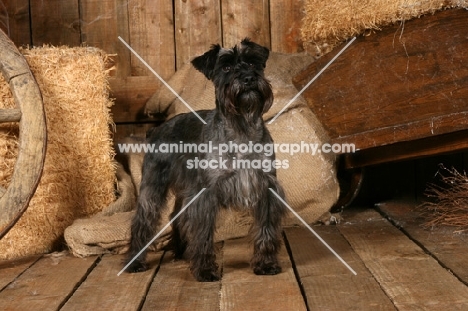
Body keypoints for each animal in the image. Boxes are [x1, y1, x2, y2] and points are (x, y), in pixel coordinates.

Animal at [124, 39, 286, 282]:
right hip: (153, 188)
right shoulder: (206, 193)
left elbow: (266, 229)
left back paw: (181, 252)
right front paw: (205, 270)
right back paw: (135, 261)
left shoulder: (266, 187)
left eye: (251, 63)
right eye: (226, 68)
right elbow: (203, 233)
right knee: (143, 220)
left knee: (176, 216)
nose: (248, 78)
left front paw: (266, 264)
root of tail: (158, 129)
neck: (241, 127)